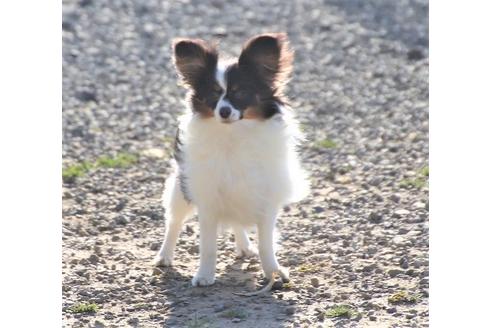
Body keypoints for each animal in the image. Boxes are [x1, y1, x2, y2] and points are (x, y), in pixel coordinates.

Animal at [154, 32, 310, 286]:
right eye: (213, 95)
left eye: (240, 92)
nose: (224, 111)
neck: (234, 133)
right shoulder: (207, 198)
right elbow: (207, 246)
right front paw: (204, 275)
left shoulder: (265, 199)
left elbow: (266, 244)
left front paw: (273, 272)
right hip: (180, 189)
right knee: (174, 222)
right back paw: (164, 256)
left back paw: (245, 246)